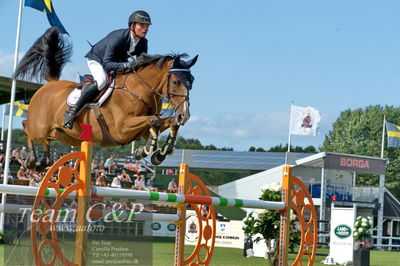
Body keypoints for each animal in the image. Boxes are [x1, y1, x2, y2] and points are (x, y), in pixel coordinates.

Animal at [13, 27, 198, 170]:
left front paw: (157, 152)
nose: (185, 116)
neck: (139, 89)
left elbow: (167, 123)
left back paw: (44, 160)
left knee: (46, 138)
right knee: (26, 127)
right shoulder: (122, 129)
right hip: (39, 126)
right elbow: (155, 120)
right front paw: (147, 149)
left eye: (192, 81)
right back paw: (31, 160)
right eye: (176, 82)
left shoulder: (141, 129)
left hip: (64, 135)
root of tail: (50, 84)